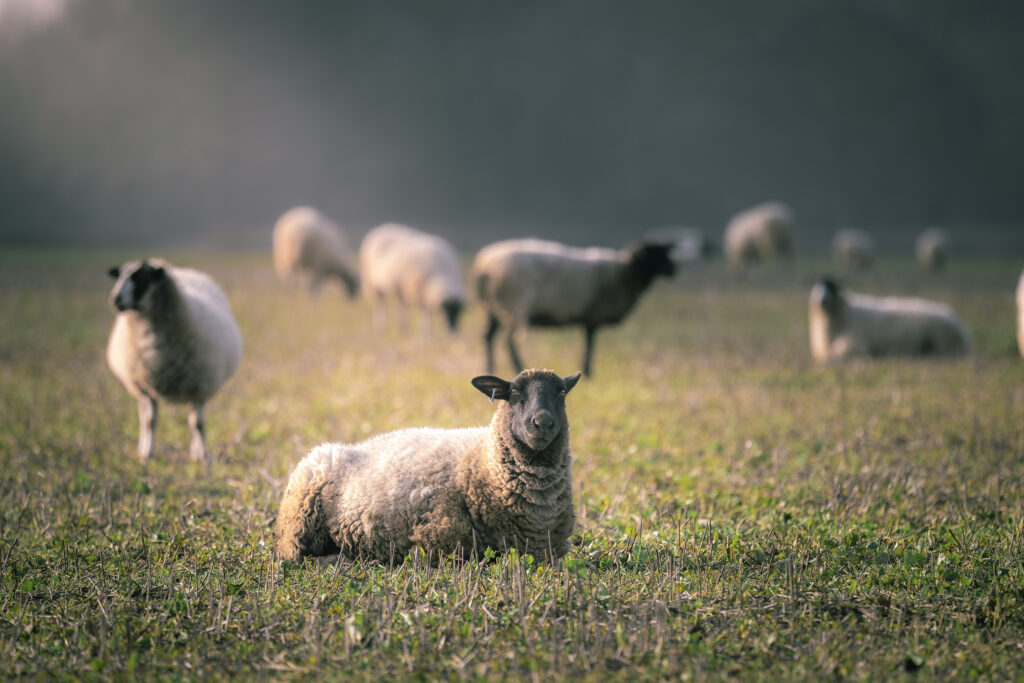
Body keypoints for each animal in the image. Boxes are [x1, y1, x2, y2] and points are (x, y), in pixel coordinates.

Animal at [106, 258, 243, 464]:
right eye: (120, 275)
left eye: (142, 277)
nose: (116, 299)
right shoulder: (147, 387)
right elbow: (150, 422)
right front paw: (148, 456)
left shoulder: (199, 387)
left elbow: (198, 424)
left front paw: (204, 457)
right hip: (139, 387)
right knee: (143, 417)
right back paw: (142, 448)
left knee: (192, 421)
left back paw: (195, 452)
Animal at [274, 368, 585, 565]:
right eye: (515, 393)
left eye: (561, 394)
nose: (542, 423)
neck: (484, 462)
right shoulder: (438, 542)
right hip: (298, 523)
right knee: (294, 556)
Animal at [468, 237, 675, 376]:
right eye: (652, 254)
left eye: (664, 252)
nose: (673, 269)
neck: (626, 272)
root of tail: (483, 269)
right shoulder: (594, 314)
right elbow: (590, 344)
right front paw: (589, 371)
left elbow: (589, 342)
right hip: (513, 306)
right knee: (510, 341)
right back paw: (518, 367)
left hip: (491, 308)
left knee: (488, 336)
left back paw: (490, 368)